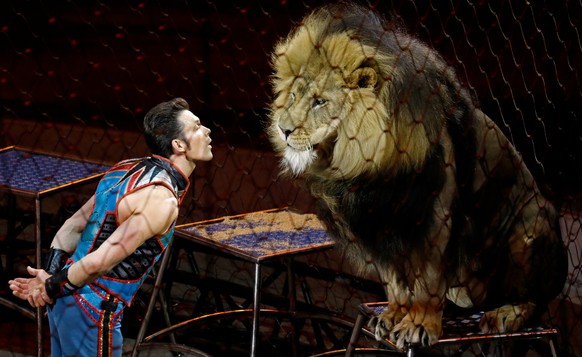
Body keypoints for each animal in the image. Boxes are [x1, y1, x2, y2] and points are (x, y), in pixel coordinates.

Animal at [270, 1, 572, 350]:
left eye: (320, 101)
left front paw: (418, 325)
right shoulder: (377, 230)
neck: (364, 168)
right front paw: (391, 317)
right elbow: (394, 283)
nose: (283, 128)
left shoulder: (434, 216)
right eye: (294, 95)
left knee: (537, 301)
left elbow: (427, 283)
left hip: (529, 231)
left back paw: (506, 314)